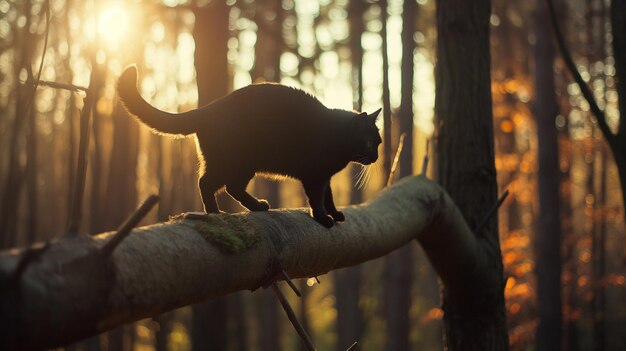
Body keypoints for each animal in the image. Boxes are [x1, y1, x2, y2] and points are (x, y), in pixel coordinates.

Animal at [117, 65, 380, 228]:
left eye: (378, 143)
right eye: (369, 142)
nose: (376, 157)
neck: (336, 136)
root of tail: (208, 107)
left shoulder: (324, 176)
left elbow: (329, 196)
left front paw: (334, 213)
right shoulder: (314, 175)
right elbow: (317, 198)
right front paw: (323, 218)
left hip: (241, 166)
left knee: (229, 187)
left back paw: (256, 206)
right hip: (233, 162)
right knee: (207, 183)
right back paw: (216, 213)